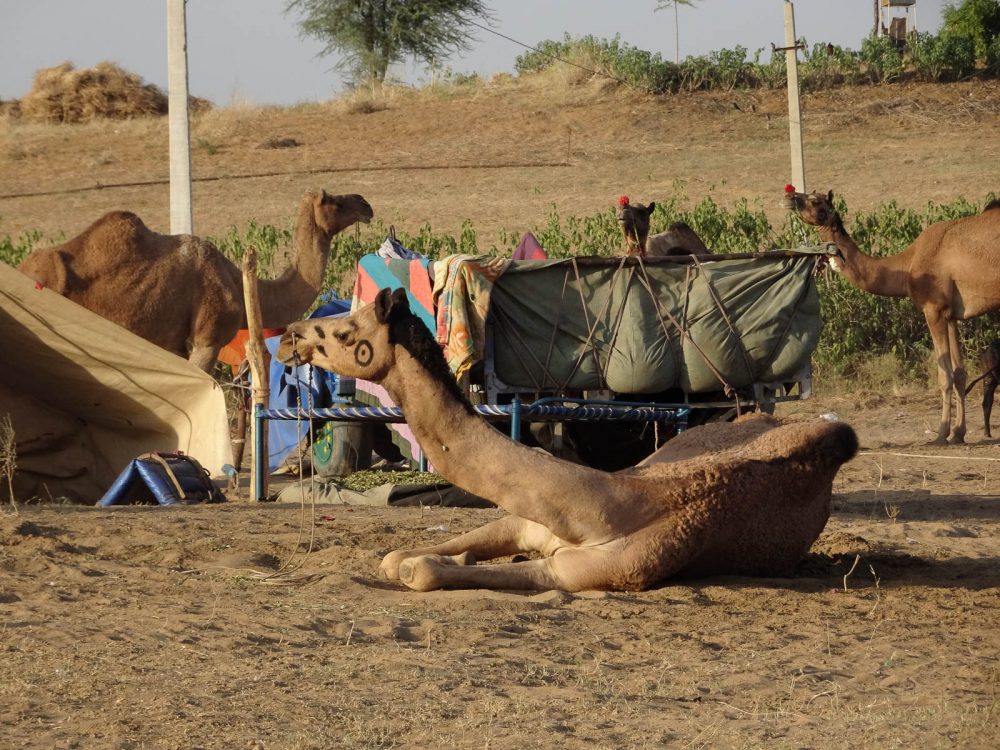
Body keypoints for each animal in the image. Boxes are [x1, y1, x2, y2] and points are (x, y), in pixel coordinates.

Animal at [276, 287, 858, 592]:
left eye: (345, 332)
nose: (288, 335)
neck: (605, 507)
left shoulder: (579, 572)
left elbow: (418, 570)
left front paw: (447, 566)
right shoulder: (523, 522)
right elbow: (399, 556)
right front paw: (452, 558)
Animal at [784, 187, 1000, 445]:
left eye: (815, 200)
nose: (790, 196)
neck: (908, 266)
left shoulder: (933, 308)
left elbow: (944, 375)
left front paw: (940, 434)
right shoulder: (951, 314)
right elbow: (959, 373)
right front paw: (958, 433)